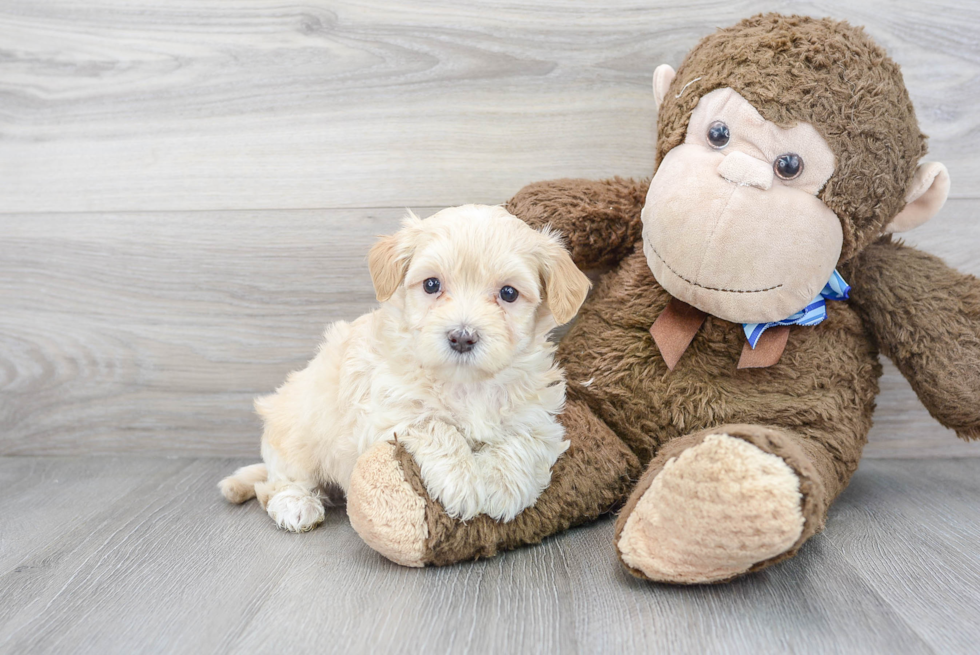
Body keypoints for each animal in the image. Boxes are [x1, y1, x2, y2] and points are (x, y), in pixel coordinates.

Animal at [220, 204, 588, 532]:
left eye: (509, 293)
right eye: (431, 285)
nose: (462, 337)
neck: (466, 385)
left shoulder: (539, 417)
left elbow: (523, 440)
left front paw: (502, 486)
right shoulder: (389, 414)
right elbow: (436, 426)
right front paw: (463, 483)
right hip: (297, 430)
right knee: (276, 483)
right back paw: (296, 505)